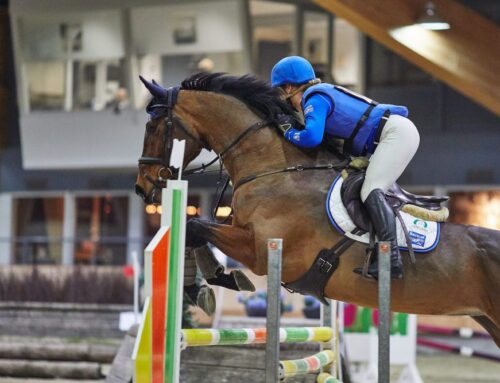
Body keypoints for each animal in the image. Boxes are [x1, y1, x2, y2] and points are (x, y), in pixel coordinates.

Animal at [135, 73, 500, 348]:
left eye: (152, 127)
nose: (141, 186)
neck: (275, 168)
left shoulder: (259, 249)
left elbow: (196, 226)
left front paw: (215, 279)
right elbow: (193, 229)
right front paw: (207, 284)